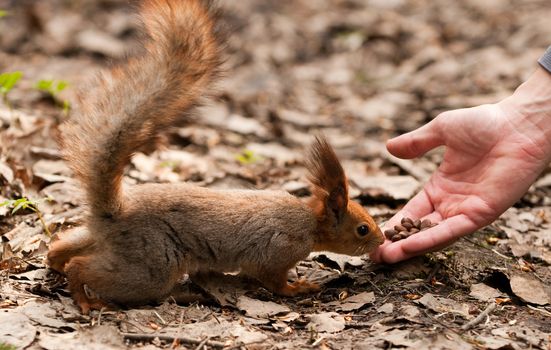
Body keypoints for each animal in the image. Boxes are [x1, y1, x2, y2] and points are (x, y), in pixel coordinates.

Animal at [46, 0, 384, 314]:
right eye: (362, 228)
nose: (381, 240)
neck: (310, 223)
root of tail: (115, 212)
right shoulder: (277, 250)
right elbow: (272, 280)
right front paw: (298, 287)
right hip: (150, 266)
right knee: (85, 267)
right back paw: (85, 298)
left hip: (102, 240)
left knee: (63, 245)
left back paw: (56, 263)